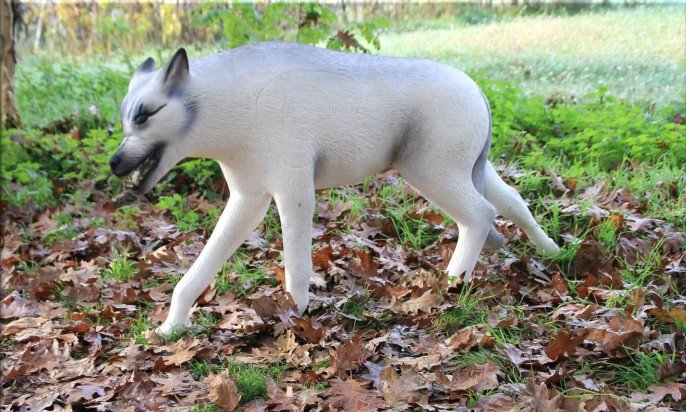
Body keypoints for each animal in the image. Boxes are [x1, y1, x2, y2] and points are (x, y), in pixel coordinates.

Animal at [109, 42, 560, 335]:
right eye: (126, 119)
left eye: (145, 115)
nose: (114, 163)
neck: (225, 108)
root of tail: (476, 89)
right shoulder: (248, 200)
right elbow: (200, 268)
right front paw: (171, 328)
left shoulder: (294, 193)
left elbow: (297, 270)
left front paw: (297, 318)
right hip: (464, 169)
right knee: (512, 202)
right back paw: (553, 251)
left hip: (431, 171)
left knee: (480, 215)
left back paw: (452, 284)